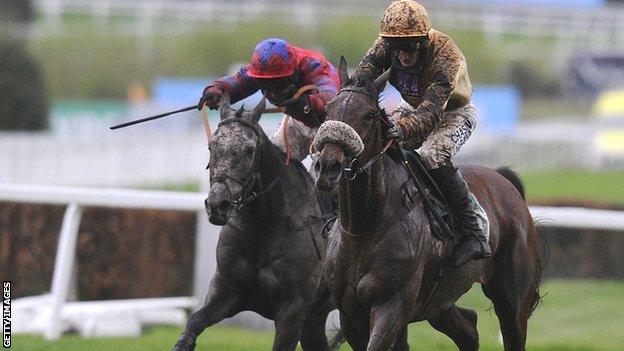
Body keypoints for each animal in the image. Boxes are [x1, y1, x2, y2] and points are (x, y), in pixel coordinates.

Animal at [171, 95, 336, 350]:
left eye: (249, 150)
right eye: (211, 146)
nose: (217, 205)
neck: (266, 226)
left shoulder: (293, 309)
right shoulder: (227, 291)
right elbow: (194, 322)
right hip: (316, 318)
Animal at [312, 59, 540, 350]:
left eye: (369, 115)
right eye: (327, 110)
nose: (327, 167)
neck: (365, 228)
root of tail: (503, 180)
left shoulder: (391, 305)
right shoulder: (350, 315)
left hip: (512, 298)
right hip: (438, 301)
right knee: (469, 328)